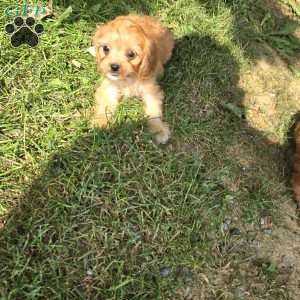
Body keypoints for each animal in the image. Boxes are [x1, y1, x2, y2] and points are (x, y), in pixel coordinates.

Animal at [88, 15, 173, 144]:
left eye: (131, 54)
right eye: (106, 49)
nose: (114, 66)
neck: (127, 78)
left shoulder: (150, 90)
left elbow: (153, 111)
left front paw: (158, 129)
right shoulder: (109, 87)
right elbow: (106, 105)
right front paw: (101, 122)